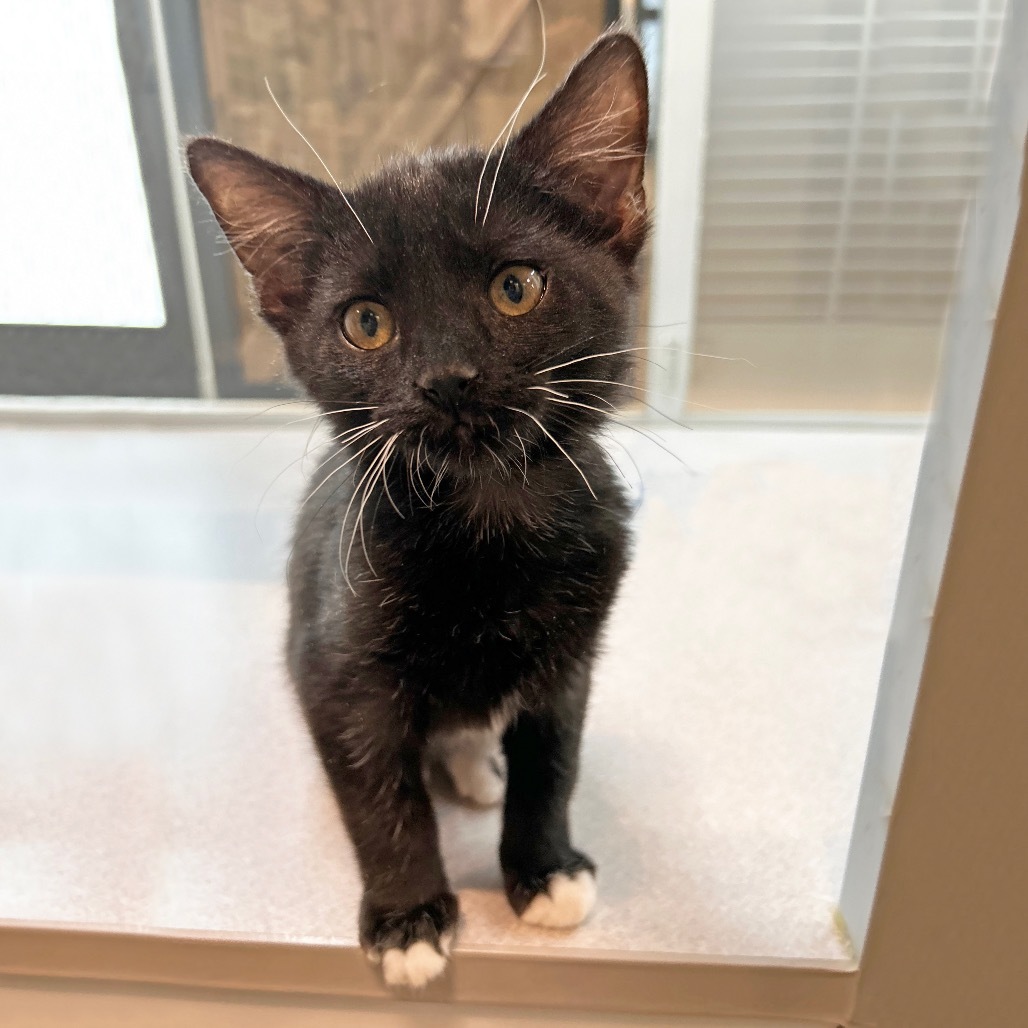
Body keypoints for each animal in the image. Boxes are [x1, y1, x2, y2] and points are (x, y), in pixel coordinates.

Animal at [189, 32, 645, 986]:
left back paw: (478, 765)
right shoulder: (335, 666)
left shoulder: (574, 657)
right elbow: (377, 792)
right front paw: (407, 919)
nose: (448, 378)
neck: (490, 521)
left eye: (516, 287)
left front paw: (543, 868)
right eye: (366, 323)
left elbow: (556, 760)